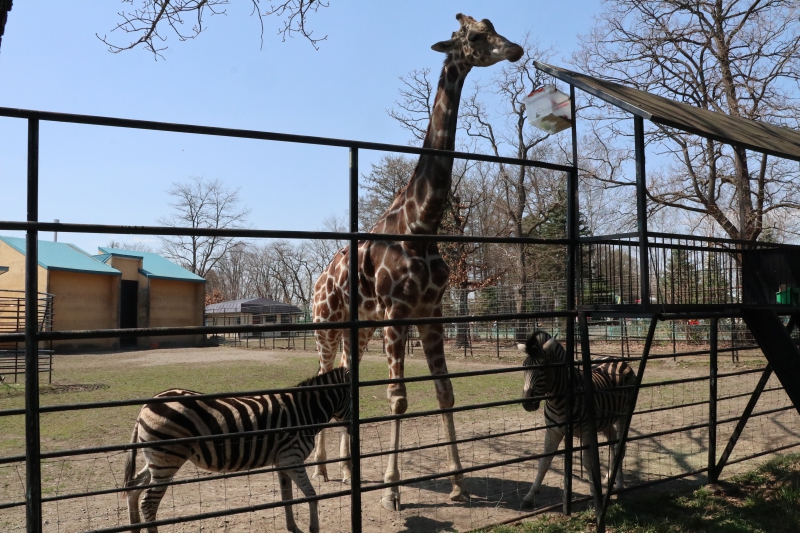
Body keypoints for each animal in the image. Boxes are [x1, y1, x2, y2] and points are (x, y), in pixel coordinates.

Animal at [125, 366, 350, 532]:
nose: (351, 428)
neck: (305, 412)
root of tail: (145, 406)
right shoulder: (291, 457)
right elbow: (312, 495)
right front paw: (313, 528)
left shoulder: (282, 461)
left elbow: (286, 497)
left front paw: (293, 528)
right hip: (167, 460)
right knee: (149, 503)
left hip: (157, 460)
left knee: (133, 487)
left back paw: (134, 527)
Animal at [310, 13, 520, 512]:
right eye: (476, 36)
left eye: (493, 24)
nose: (516, 49)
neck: (422, 225)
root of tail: (317, 278)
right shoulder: (397, 312)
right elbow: (398, 398)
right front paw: (391, 491)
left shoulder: (432, 311)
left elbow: (445, 392)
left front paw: (459, 484)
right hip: (326, 327)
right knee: (324, 375)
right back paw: (323, 468)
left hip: (357, 332)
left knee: (344, 382)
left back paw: (345, 470)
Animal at [520, 330, 636, 500]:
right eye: (524, 367)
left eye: (543, 369)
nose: (527, 404)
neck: (557, 401)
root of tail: (614, 358)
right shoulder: (553, 431)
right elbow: (544, 462)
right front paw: (530, 495)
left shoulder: (587, 430)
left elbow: (588, 463)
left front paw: (594, 494)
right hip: (605, 420)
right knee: (613, 443)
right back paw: (608, 478)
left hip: (624, 415)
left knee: (620, 446)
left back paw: (619, 484)